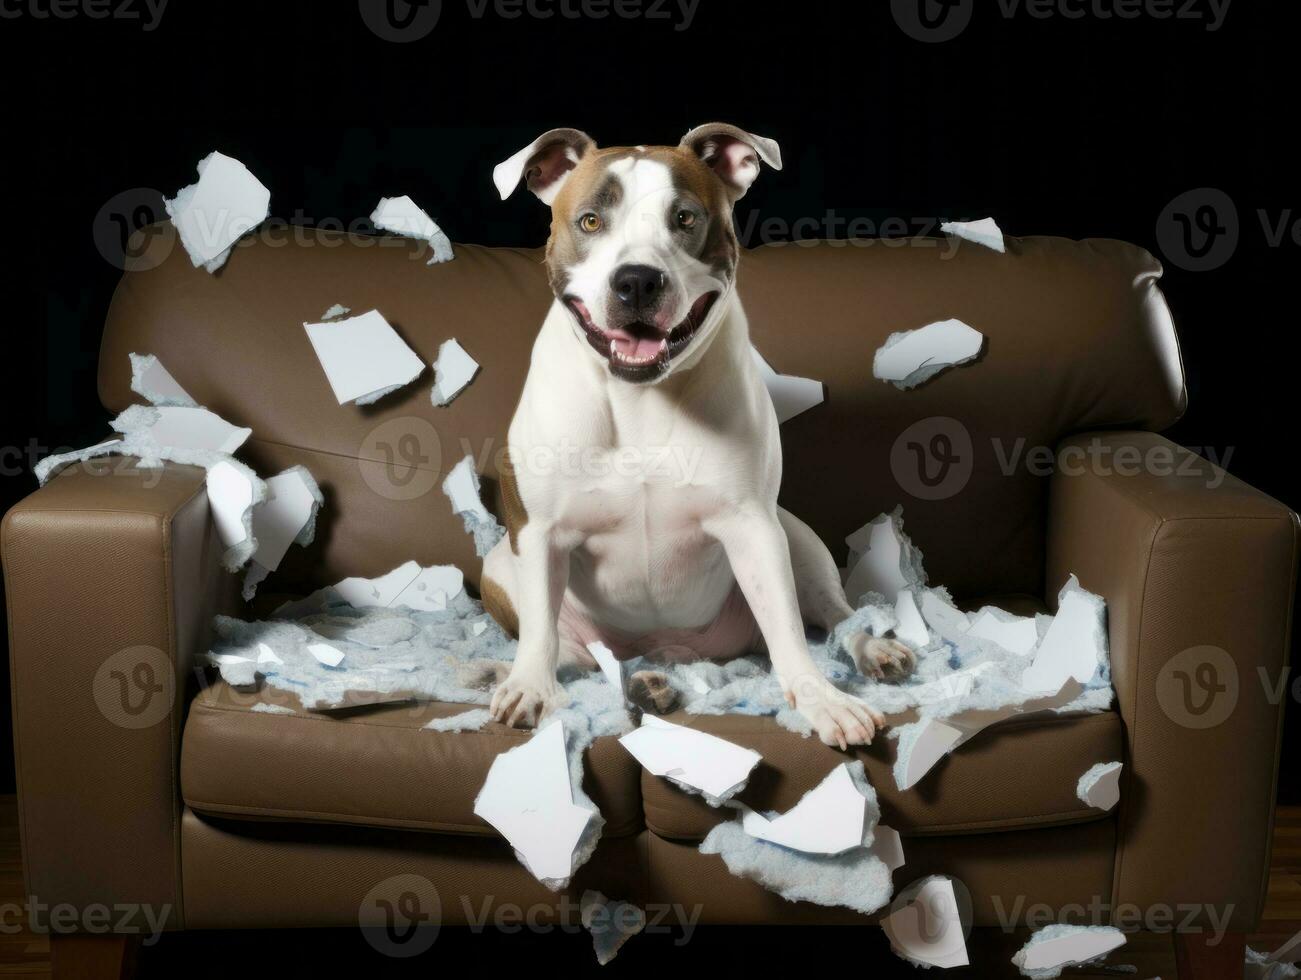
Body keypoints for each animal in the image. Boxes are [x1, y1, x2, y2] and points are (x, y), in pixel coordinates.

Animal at [478, 124, 915, 749]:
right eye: (591, 221)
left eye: (684, 218)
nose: (637, 280)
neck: (639, 398)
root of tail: (673, 649)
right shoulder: (538, 533)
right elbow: (539, 631)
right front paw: (530, 689)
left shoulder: (753, 527)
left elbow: (790, 634)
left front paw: (820, 700)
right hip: (501, 568)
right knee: (575, 649)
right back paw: (645, 684)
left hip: (793, 536)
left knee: (831, 617)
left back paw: (872, 649)